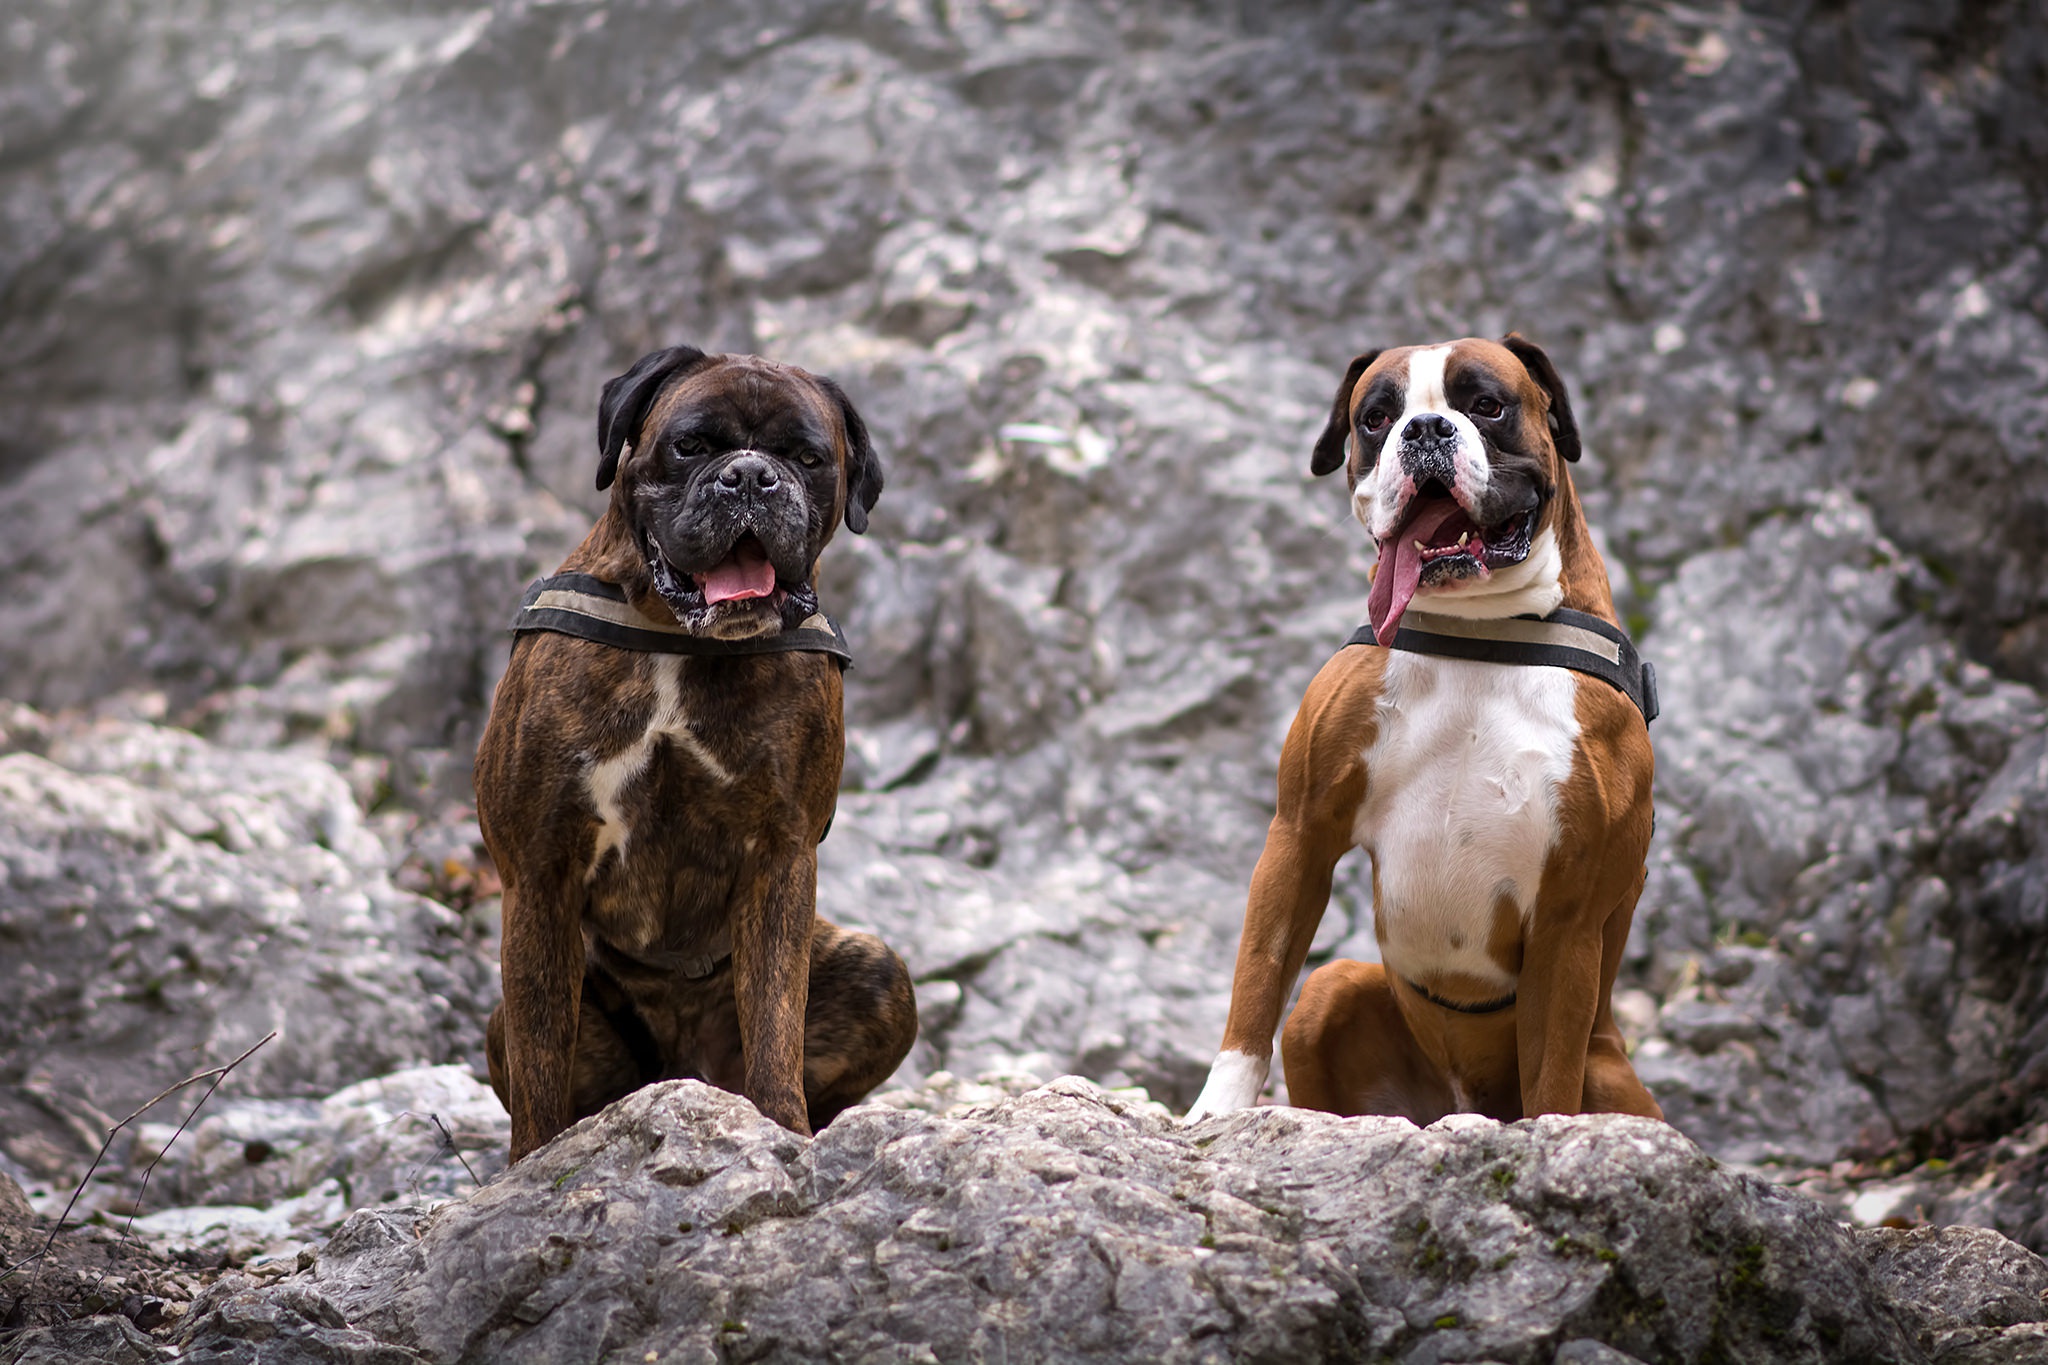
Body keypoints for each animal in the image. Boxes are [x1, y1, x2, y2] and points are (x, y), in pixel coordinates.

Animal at [479, 347, 913, 1162]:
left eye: (808, 458)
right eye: (691, 445)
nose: (751, 477)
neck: (679, 641)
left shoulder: (781, 856)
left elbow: (774, 1019)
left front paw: (782, 1133)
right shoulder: (539, 872)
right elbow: (540, 1056)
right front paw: (532, 1165)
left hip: (878, 971)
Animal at [1187, 335, 1662, 1129]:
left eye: (1488, 404)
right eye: (1376, 417)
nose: (1426, 429)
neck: (1480, 632)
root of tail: (1456, 1104)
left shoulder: (1568, 918)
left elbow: (1553, 1076)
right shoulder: (1299, 837)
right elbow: (1255, 987)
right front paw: (1216, 1112)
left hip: (1609, 1070)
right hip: (1330, 993)